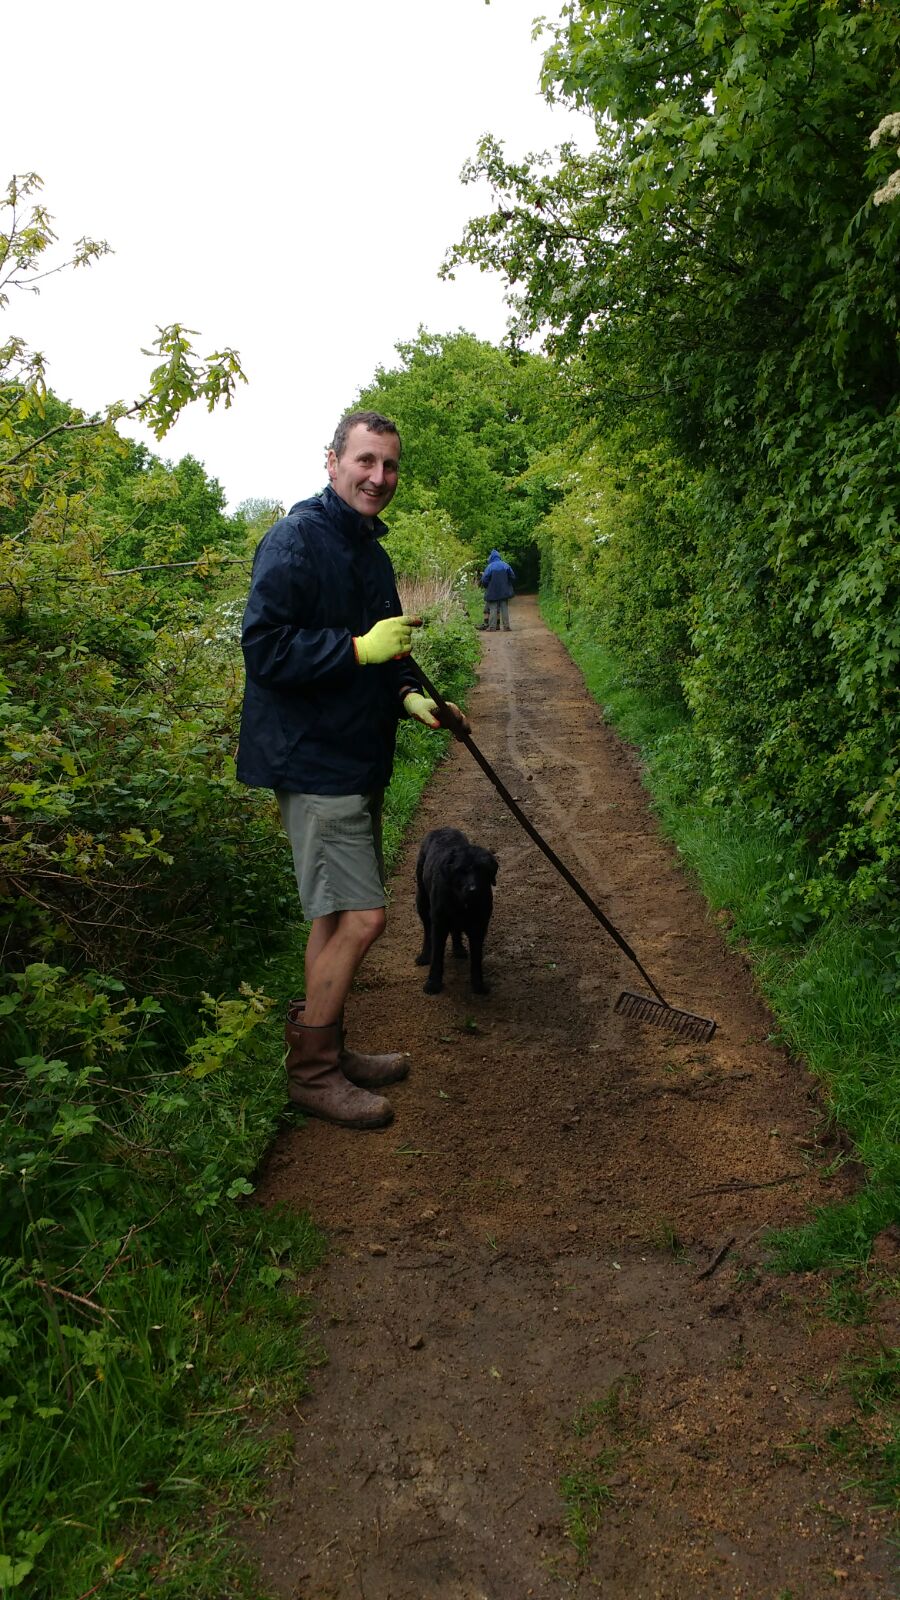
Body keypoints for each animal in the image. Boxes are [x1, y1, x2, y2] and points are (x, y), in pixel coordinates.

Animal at [415, 827, 498, 995]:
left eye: (482, 870)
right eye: (461, 870)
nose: (473, 890)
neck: (462, 902)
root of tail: (442, 828)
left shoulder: (479, 927)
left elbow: (476, 959)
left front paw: (478, 985)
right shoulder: (439, 924)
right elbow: (437, 956)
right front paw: (433, 984)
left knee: (455, 930)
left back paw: (458, 949)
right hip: (422, 901)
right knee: (427, 931)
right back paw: (425, 955)